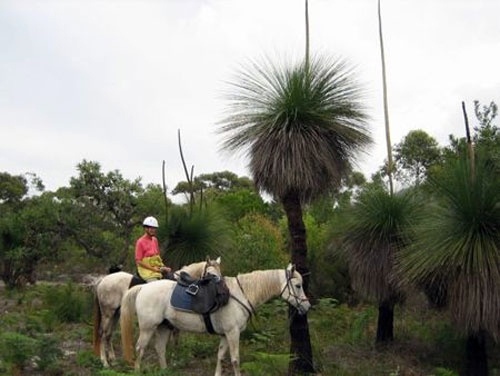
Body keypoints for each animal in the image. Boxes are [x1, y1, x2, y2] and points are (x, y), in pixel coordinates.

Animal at [92, 258, 221, 366]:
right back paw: (104, 362)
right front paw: (173, 357)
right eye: (210, 274)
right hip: (108, 314)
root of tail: (103, 281)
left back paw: (112, 359)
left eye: (219, 273)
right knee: (102, 333)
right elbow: (174, 338)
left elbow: (173, 339)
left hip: (116, 314)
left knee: (108, 334)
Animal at [120, 264, 308, 376]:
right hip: (148, 328)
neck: (241, 294)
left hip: (164, 327)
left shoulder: (225, 335)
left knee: (159, 349)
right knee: (140, 349)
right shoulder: (233, 333)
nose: (307, 307)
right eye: (298, 286)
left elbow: (220, 356)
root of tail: (143, 287)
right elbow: (234, 359)